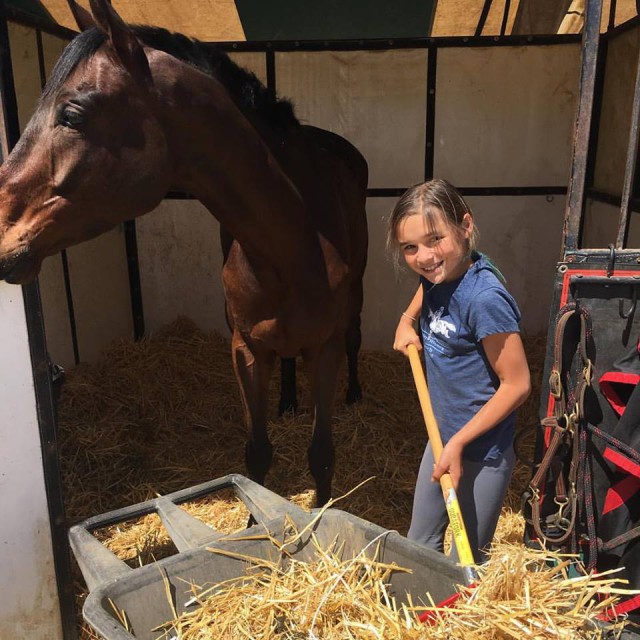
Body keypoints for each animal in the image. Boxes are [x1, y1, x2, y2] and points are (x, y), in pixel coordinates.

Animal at [0, 0, 368, 504]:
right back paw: (289, 400)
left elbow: (322, 456)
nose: (1, 236)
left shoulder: (324, 351)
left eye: (72, 114)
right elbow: (257, 455)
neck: (295, 243)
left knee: (354, 337)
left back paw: (354, 394)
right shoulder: (246, 349)